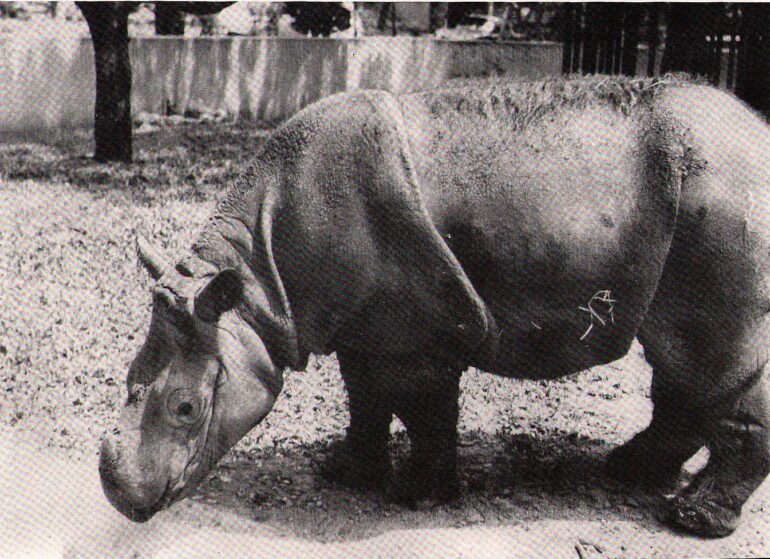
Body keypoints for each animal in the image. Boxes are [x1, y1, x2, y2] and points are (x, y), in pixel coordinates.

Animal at [99, 75, 770, 538]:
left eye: (186, 408)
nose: (121, 498)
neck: (257, 291)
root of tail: (758, 133)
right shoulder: (365, 324)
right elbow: (366, 398)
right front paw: (346, 475)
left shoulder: (419, 331)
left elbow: (421, 407)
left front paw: (419, 499)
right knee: (679, 368)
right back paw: (626, 472)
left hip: (724, 211)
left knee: (714, 364)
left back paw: (692, 521)